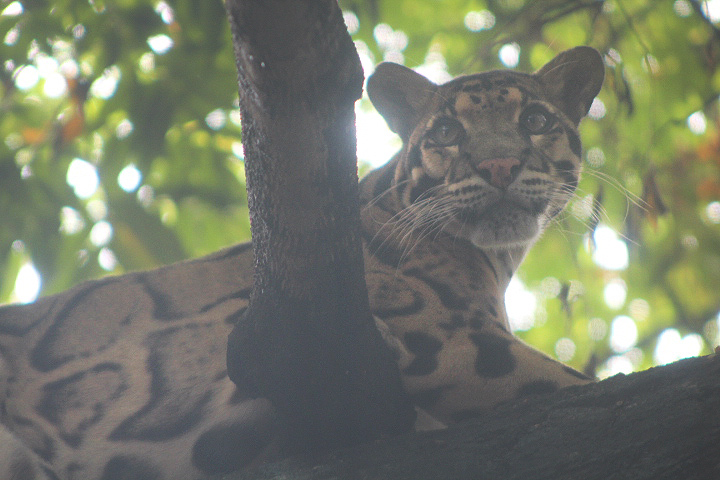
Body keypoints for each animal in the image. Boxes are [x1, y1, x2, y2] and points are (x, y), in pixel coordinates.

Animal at [0, 46, 604, 479]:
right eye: (447, 132)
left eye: (536, 120)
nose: (499, 165)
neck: (495, 258)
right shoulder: (446, 339)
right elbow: (569, 383)